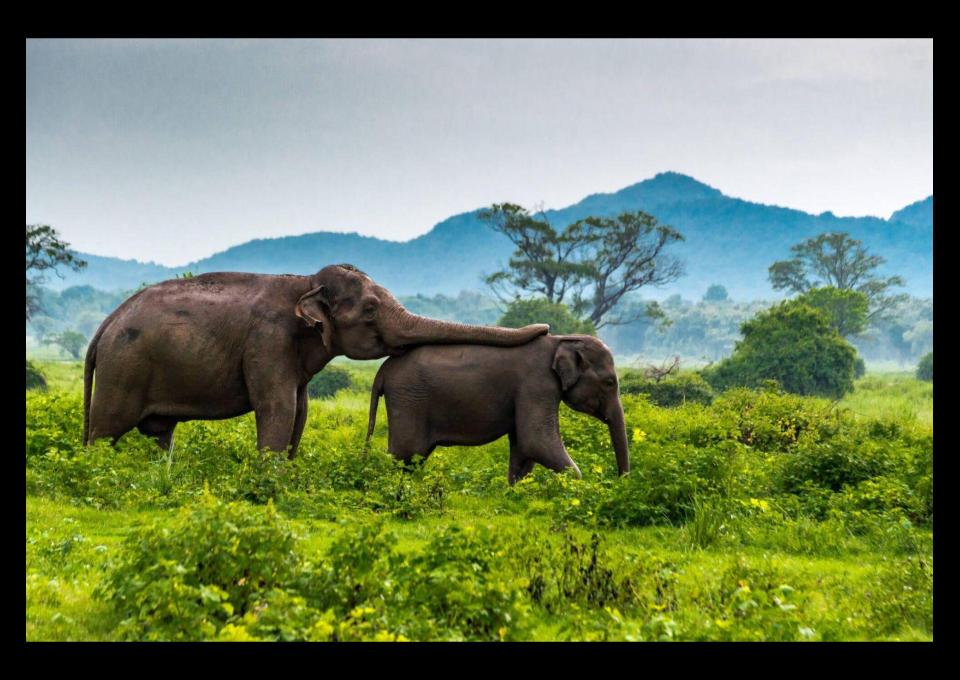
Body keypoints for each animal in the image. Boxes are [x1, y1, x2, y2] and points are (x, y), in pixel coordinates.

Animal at [82, 264, 548, 456]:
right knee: (106, 430)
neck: (304, 281)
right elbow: (278, 408)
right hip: (123, 369)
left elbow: (300, 411)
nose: (544, 329)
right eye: (370, 310)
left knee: (160, 434)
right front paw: (268, 480)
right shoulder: (268, 341)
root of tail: (103, 327)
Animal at [368, 334, 632, 484]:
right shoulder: (537, 384)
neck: (561, 340)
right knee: (404, 454)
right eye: (610, 382)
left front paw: (515, 492)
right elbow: (536, 441)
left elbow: (523, 447)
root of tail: (382, 370)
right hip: (408, 400)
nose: (620, 482)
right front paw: (580, 488)